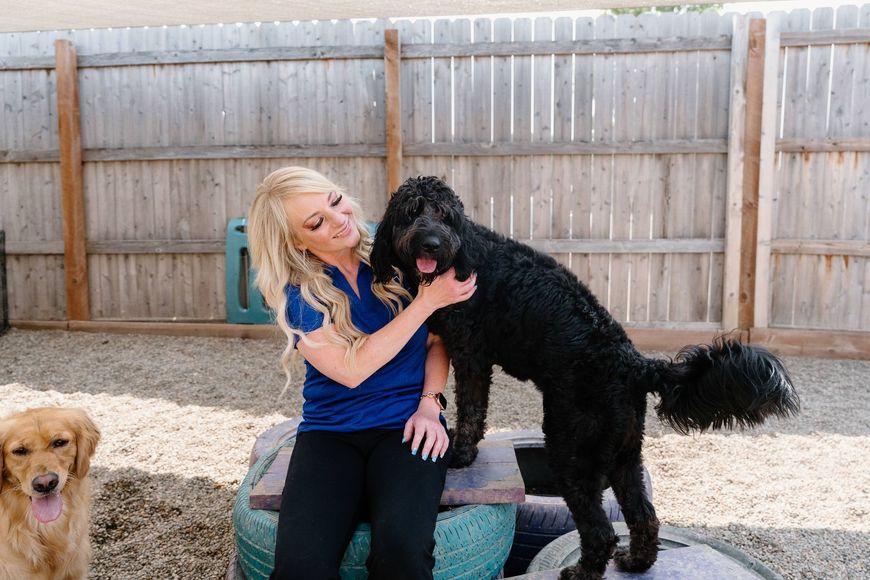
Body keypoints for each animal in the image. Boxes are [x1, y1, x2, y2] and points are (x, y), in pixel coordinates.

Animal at [372, 177, 800, 580]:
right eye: (412, 211)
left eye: (445, 215)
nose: (431, 243)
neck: (464, 254)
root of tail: (632, 363)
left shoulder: (471, 353)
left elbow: (472, 408)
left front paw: (462, 454)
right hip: (624, 456)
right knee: (644, 516)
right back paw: (636, 562)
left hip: (572, 449)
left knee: (600, 531)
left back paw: (583, 571)